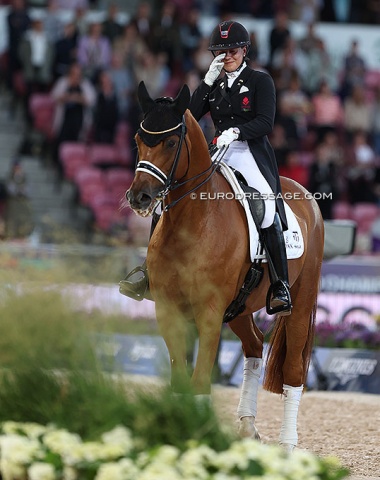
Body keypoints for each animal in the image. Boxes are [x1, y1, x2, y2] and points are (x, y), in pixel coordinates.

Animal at [124, 80, 324, 452]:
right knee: (254, 346)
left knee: (293, 369)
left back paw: (287, 444)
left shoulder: (209, 312)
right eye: (138, 140)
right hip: (240, 308)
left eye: (171, 142)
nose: (138, 197)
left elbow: (200, 380)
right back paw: (247, 426)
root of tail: (305, 196)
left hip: (301, 303)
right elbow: (180, 379)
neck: (193, 221)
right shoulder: (169, 311)